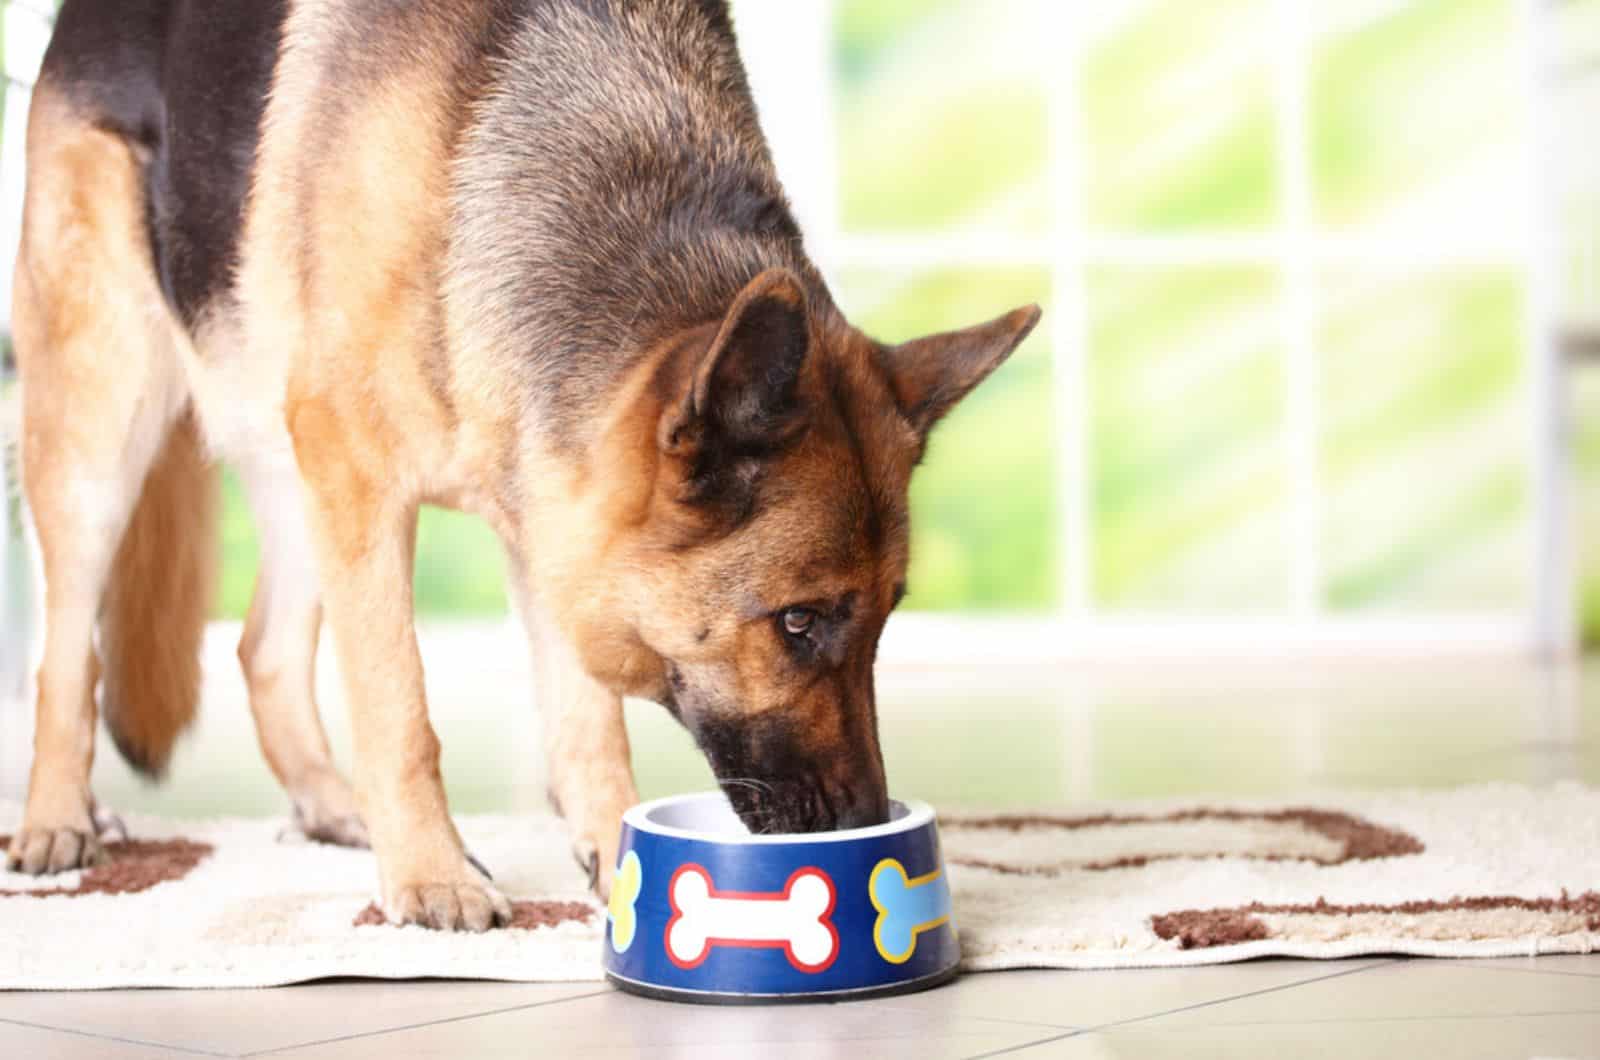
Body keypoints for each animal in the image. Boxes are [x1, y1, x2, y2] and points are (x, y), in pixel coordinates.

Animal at [9, 0, 1036, 928]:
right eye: (797, 622)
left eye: (885, 619)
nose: (865, 822)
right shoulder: (367, 480)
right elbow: (397, 704)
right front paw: (431, 877)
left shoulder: (552, 511)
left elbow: (586, 722)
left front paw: (613, 859)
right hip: (106, 430)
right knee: (65, 653)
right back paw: (58, 820)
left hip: (289, 470)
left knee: (260, 648)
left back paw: (334, 807)